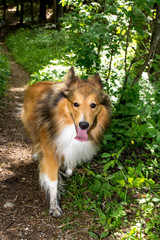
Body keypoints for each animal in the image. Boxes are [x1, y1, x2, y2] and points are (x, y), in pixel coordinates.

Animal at [21, 67, 111, 218]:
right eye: (75, 104)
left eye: (93, 105)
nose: (84, 125)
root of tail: (36, 82)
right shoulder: (50, 152)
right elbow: (53, 181)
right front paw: (54, 206)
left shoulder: (73, 149)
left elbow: (69, 169)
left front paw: (64, 172)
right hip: (30, 126)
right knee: (35, 141)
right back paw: (36, 154)